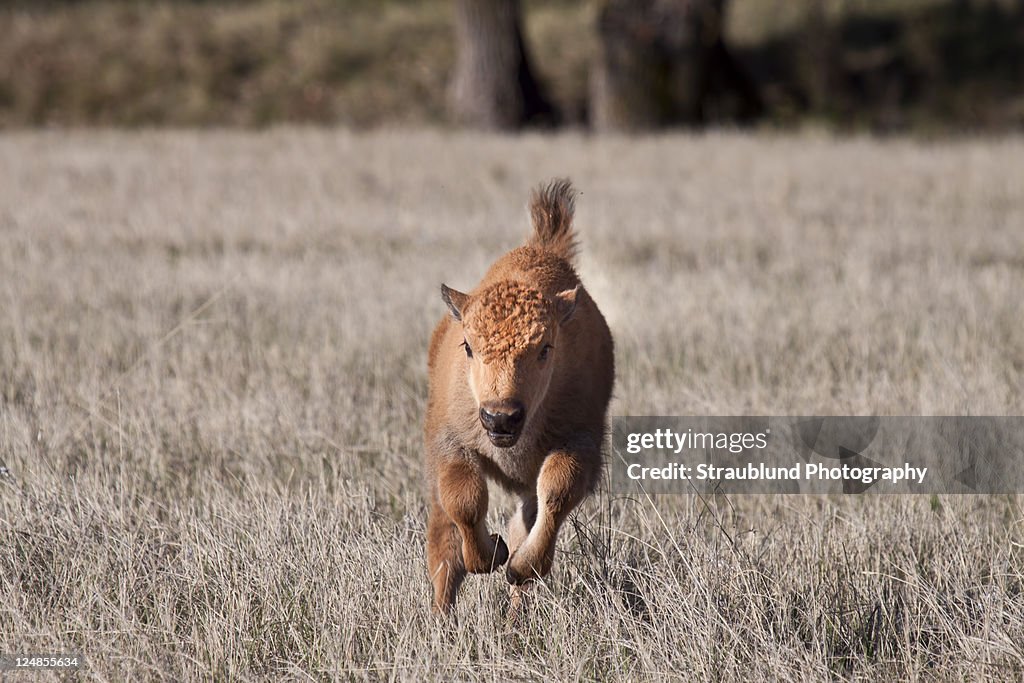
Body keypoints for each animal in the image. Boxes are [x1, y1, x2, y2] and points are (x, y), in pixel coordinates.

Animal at [425, 178, 614, 614]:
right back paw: (441, 619)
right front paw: (490, 554)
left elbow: (556, 492)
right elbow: (464, 500)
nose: (500, 416)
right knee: (443, 543)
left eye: (546, 348)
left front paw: (519, 565)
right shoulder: (451, 442)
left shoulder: (579, 441)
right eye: (468, 347)